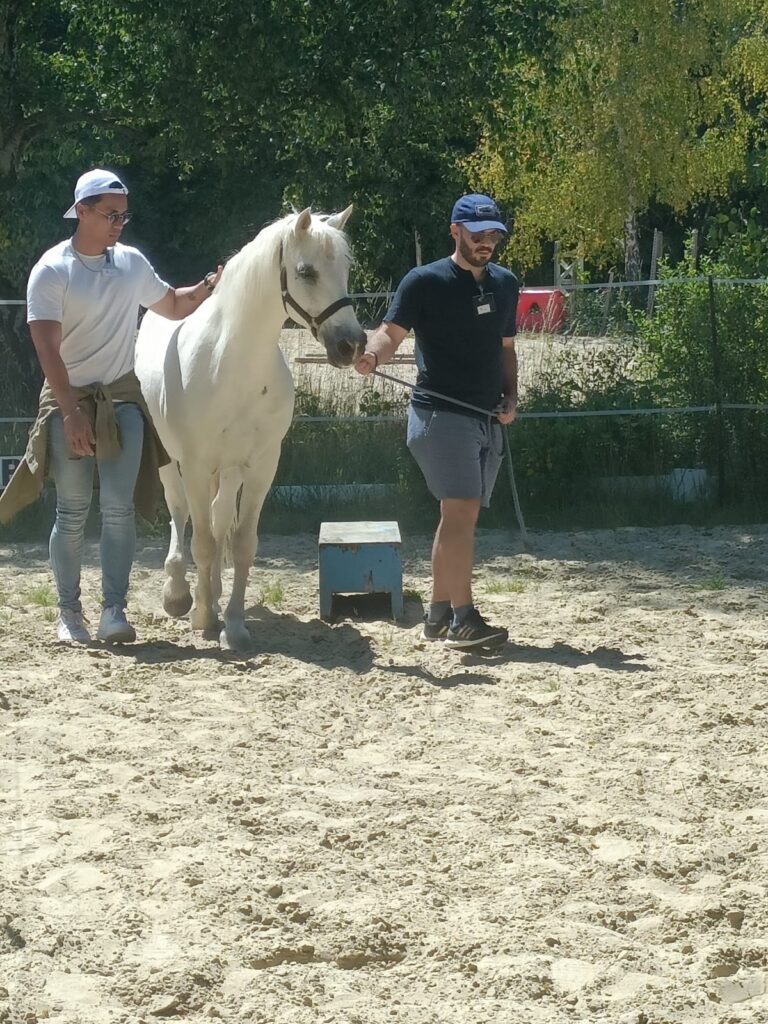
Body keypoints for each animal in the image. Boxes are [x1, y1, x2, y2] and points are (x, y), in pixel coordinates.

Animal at [135, 205, 366, 647]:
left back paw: (213, 594)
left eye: (346, 267)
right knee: (181, 513)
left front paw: (235, 623)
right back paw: (179, 594)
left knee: (218, 516)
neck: (230, 363)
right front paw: (203, 617)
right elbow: (203, 542)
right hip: (171, 461)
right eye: (306, 271)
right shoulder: (194, 465)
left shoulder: (260, 467)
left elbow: (240, 542)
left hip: (228, 471)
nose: (352, 345)